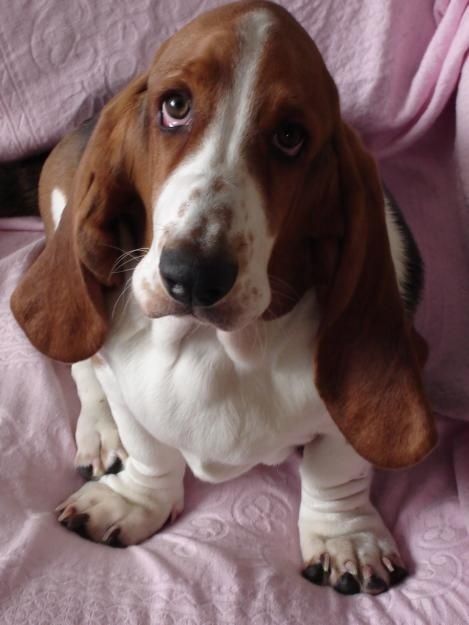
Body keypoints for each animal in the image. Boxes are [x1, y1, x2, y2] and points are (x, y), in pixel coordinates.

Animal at [10, 0, 436, 596]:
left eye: (290, 137)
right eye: (174, 106)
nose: (192, 275)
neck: (213, 346)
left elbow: (335, 467)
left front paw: (345, 539)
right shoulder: (125, 382)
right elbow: (148, 448)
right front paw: (132, 500)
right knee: (81, 367)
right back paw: (100, 435)